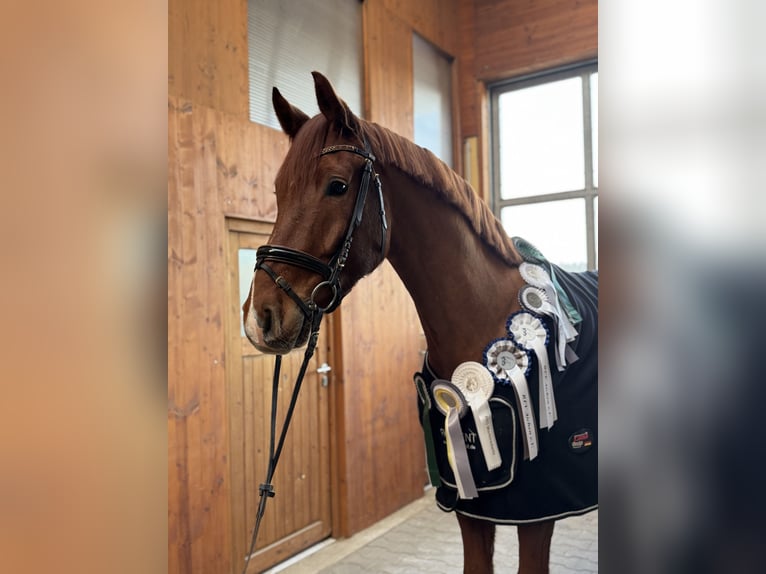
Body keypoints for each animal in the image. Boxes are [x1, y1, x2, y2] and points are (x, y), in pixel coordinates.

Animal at [246, 73, 600, 574]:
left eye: (337, 186)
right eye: (278, 190)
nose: (261, 316)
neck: (483, 317)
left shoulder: (538, 512)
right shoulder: (472, 508)